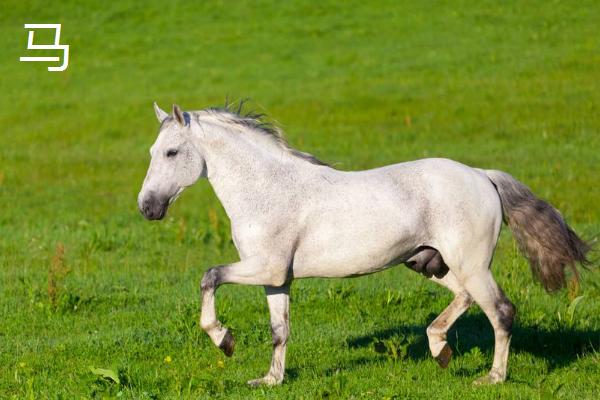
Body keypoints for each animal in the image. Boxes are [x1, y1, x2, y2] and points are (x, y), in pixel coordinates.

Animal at [137, 101, 592, 386]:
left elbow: (209, 277)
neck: (267, 189)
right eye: (152, 150)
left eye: (172, 152)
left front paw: (223, 340)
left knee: (501, 311)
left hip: (471, 264)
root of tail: (482, 176)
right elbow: (279, 330)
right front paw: (270, 379)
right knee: (464, 299)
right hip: (430, 262)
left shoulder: (265, 267)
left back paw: (492, 377)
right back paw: (439, 350)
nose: (147, 207)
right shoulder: (277, 278)